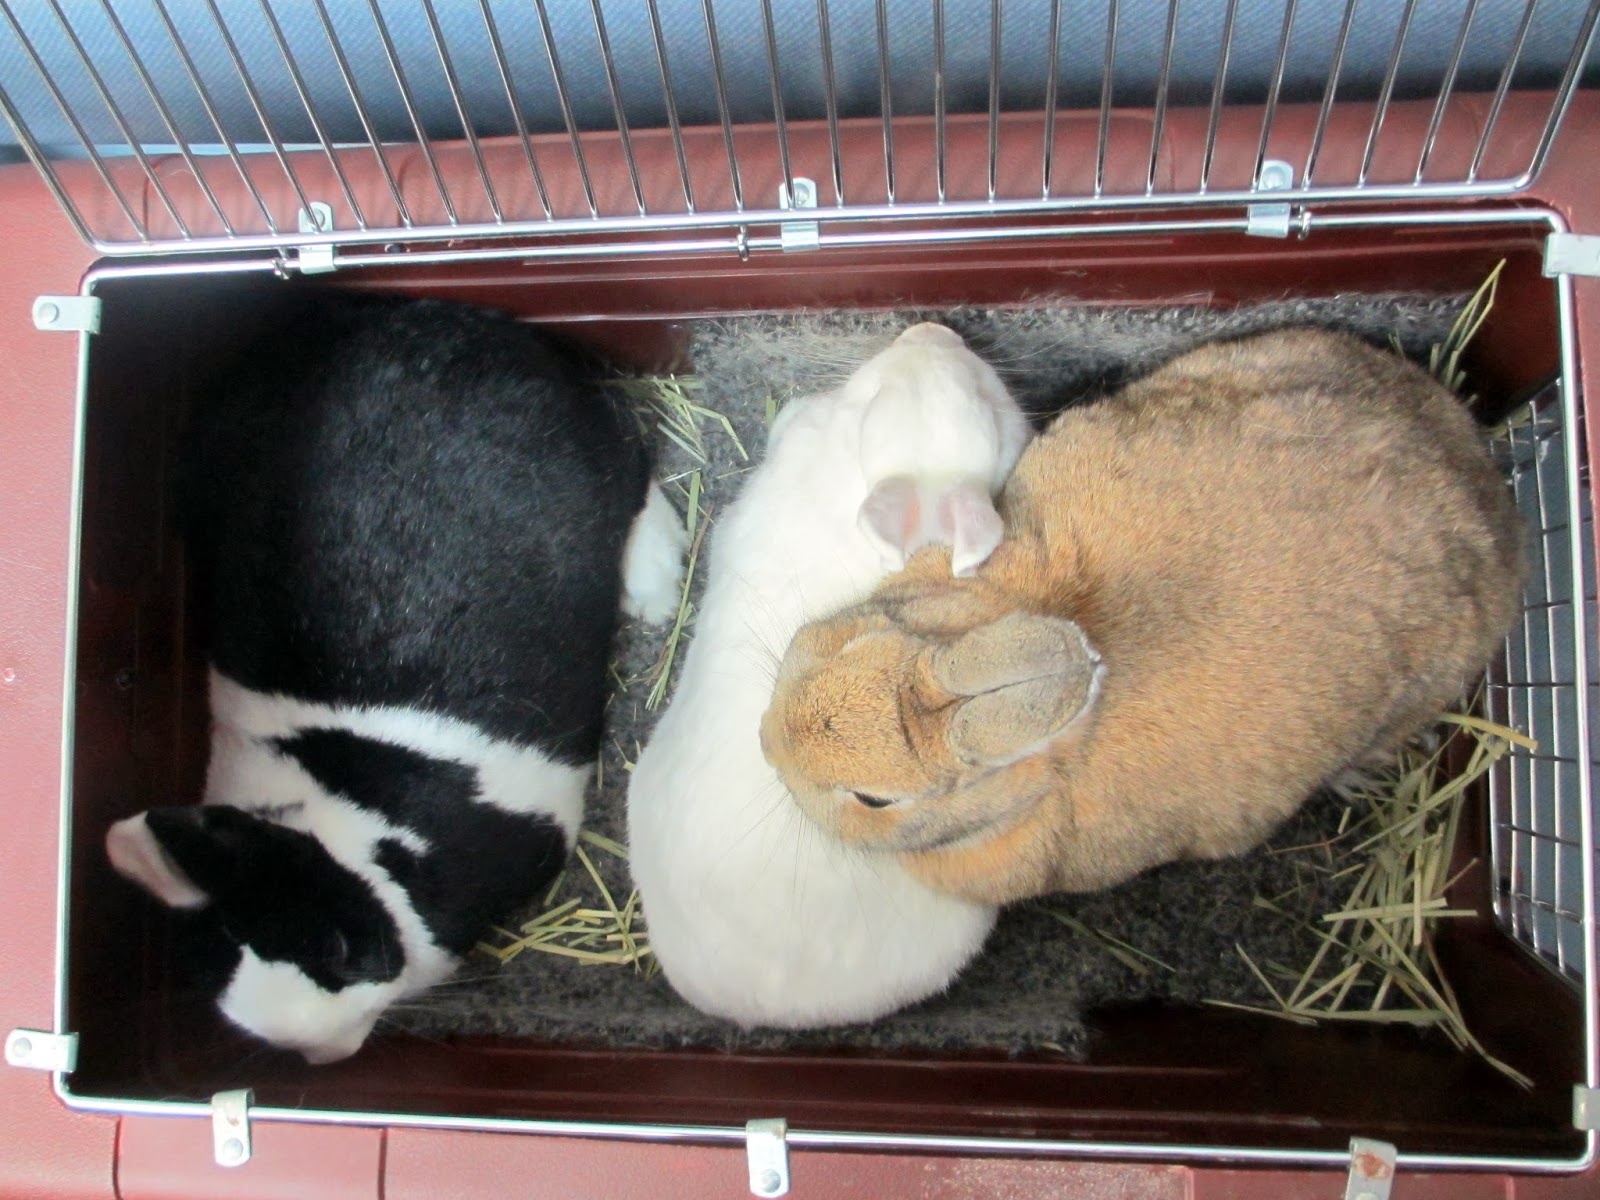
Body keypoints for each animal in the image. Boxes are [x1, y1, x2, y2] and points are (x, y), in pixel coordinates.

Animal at [105, 293, 687, 1064]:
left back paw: (654, 585)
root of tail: (426, 314)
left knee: (631, 463)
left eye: (338, 945)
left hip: (583, 449)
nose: (331, 1054)